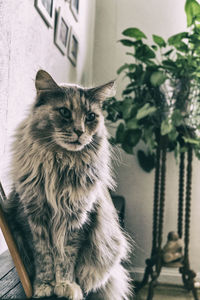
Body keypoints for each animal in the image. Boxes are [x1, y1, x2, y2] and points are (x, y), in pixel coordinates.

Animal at [3, 71, 132, 300]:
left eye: (90, 117)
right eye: (64, 112)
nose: (79, 131)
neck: (60, 163)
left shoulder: (77, 220)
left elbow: (66, 259)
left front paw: (66, 285)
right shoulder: (33, 217)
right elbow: (45, 257)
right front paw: (44, 286)